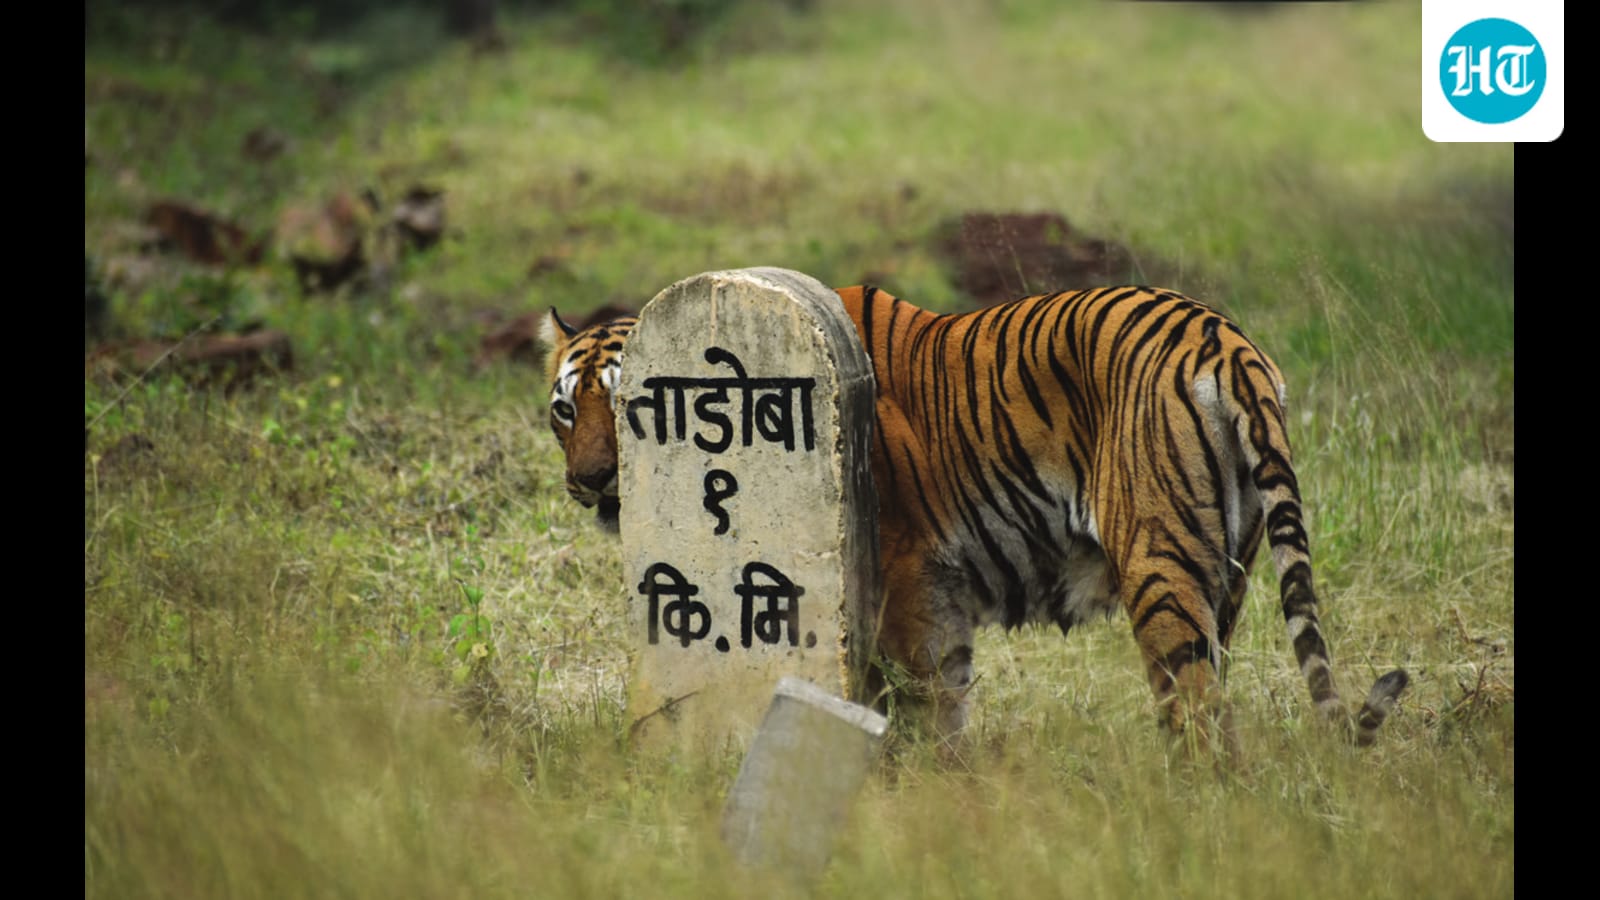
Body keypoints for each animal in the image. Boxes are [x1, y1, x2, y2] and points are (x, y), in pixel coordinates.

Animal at [539, 285, 1408, 753]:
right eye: (563, 411)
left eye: (628, 407)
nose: (589, 482)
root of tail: (1224, 339)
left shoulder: (908, 583)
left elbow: (925, 708)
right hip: (1224, 575)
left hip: (1158, 567)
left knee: (1199, 719)